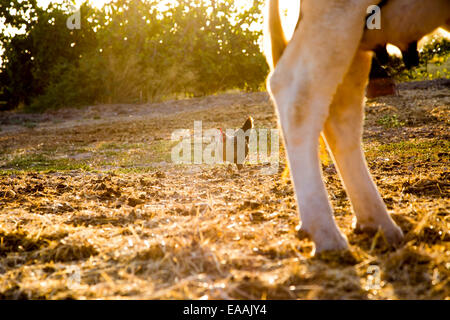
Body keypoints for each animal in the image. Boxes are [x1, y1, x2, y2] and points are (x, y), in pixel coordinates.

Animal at [266, 0, 448, 255]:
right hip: (338, 14)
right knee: (298, 92)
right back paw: (327, 235)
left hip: (357, 40)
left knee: (341, 114)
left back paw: (377, 224)